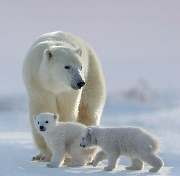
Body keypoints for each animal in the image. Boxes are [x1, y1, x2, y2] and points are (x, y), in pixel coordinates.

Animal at [23, 31, 106, 161]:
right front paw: (46, 153)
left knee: (89, 111)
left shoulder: (67, 91)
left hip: (92, 73)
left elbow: (67, 111)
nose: (80, 82)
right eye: (67, 66)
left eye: (80, 66)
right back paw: (38, 156)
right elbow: (43, 107)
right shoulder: (38, 83)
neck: (55, 84)